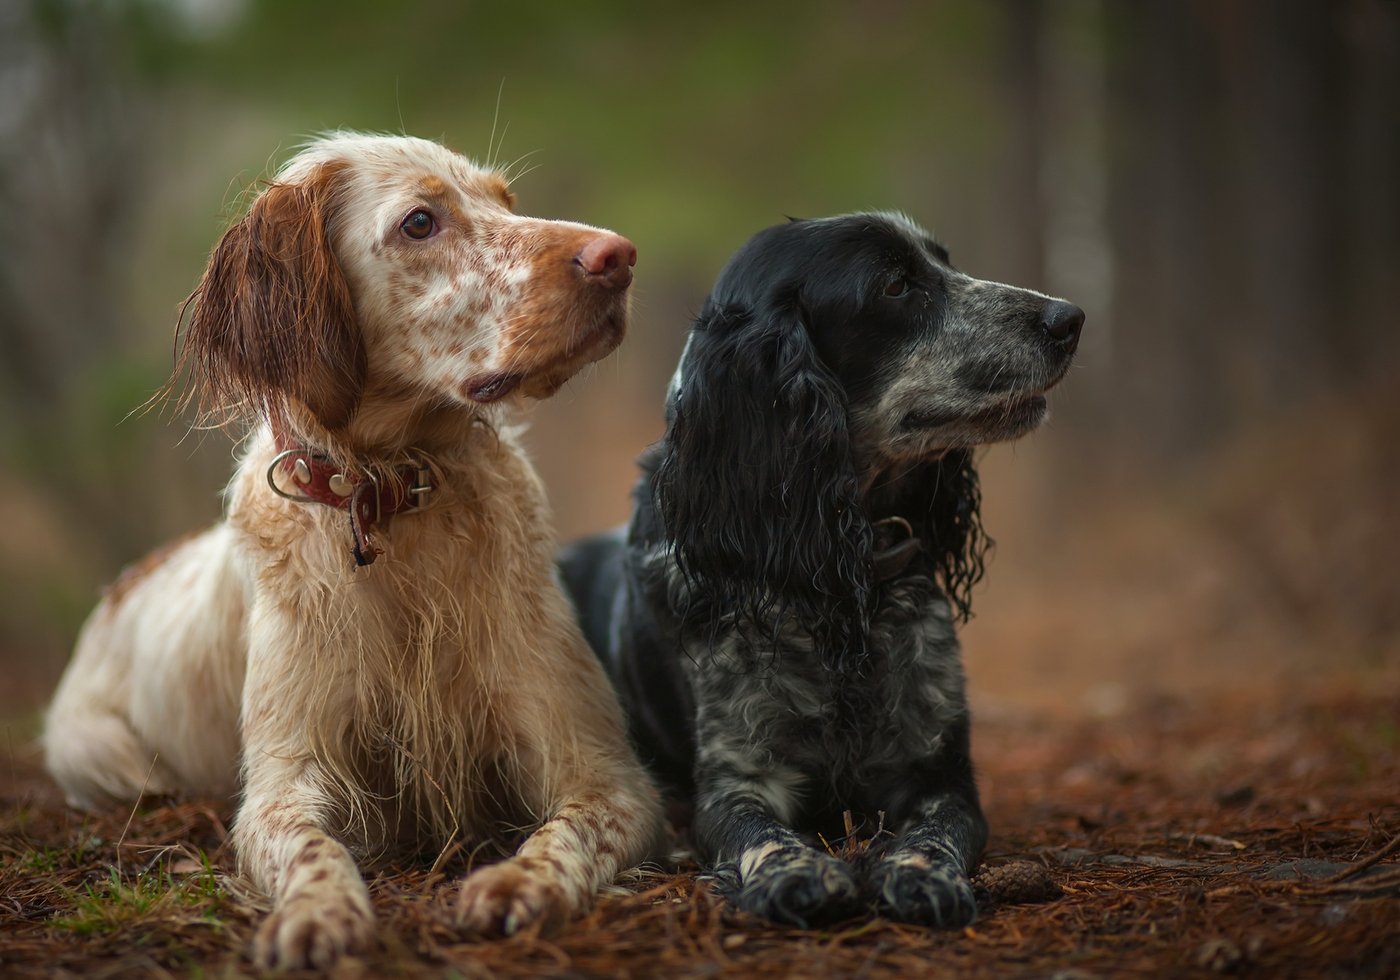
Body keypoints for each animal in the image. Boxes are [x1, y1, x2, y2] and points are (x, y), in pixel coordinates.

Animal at [38, 133, 660, 968]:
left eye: (505, 202)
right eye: (420, 222)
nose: (617, 255)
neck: (395, 497)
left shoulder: (604, 770)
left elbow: (566, 834)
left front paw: (515, 883)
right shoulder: (285, 781)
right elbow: (313, 846)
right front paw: (318, 913)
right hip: (104, 756)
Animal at [557, 212, 1080, 924]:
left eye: (944, 265)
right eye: (895, 285)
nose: (1070, 318)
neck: (833, 574)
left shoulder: (941, 774)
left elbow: (937, 831)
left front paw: (921, 874)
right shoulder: (736, 777)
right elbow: (761, 832)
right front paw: (798, 871)